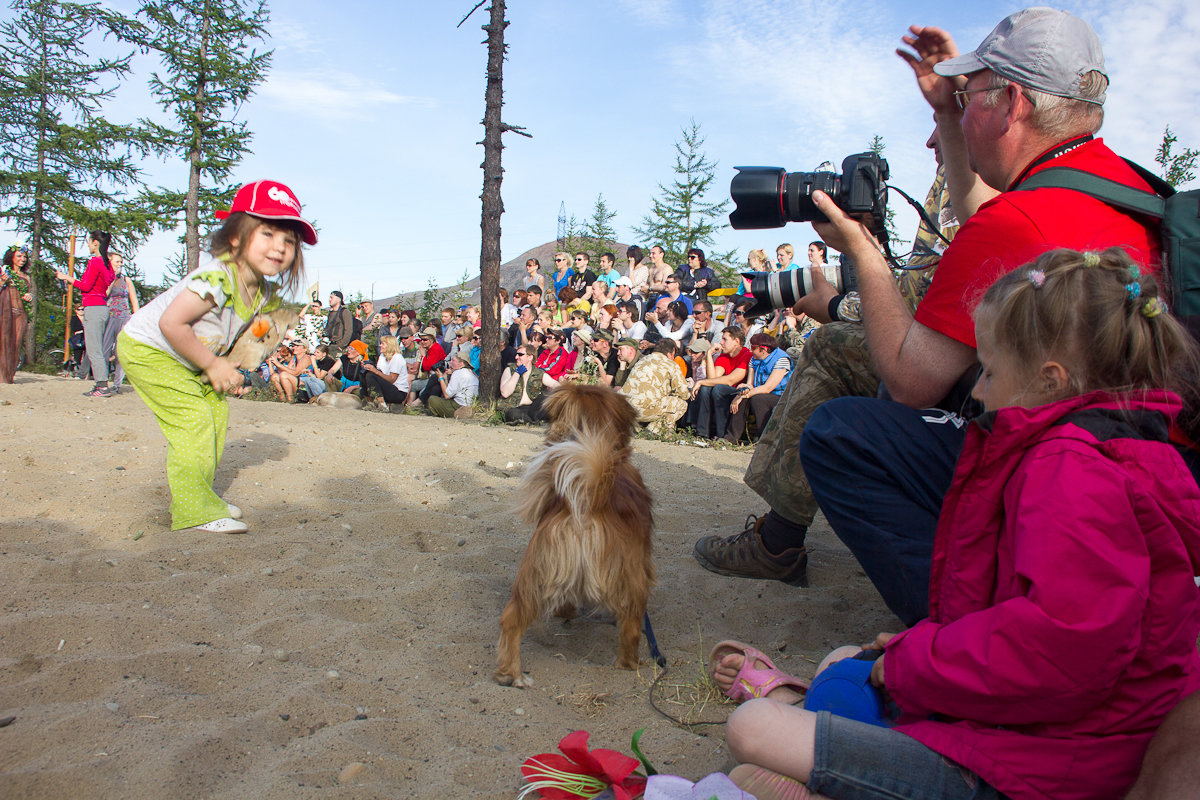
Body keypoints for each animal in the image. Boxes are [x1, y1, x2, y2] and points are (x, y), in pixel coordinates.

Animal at [492, 383, 652, 690]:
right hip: (634, 584)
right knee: (631, 630)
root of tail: (589, 501)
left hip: (534, 575)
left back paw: (509, 673)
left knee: (512, 620)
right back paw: (631, 664)